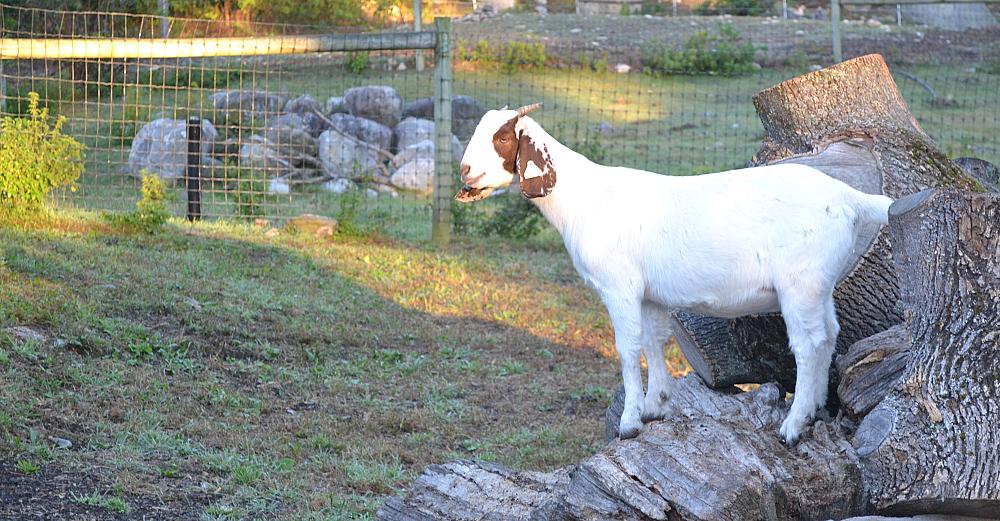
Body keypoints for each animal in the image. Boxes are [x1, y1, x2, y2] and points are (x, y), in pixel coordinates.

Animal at [456, 104, 893, 444]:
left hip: (800, 284)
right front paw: (656, 407)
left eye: (502, 138)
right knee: (829, 335)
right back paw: (816, 409)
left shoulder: (619, 287)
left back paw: (793, 426)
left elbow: (627, 348)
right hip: (820, 285)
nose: (465, 170)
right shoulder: (649, 294)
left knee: (808, 344)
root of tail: (851, 199)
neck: (585, 199)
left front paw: (630, 422)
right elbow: (653, 341)